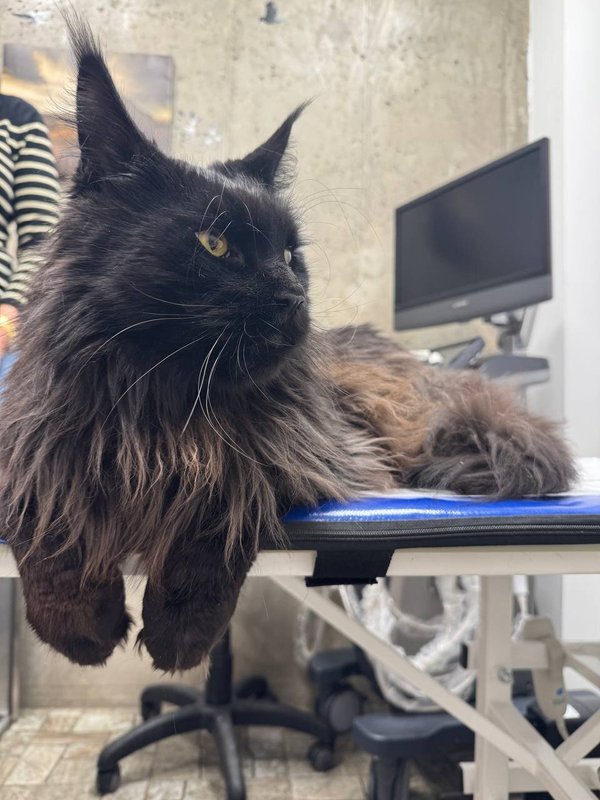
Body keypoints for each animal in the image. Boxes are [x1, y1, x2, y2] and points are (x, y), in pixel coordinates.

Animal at [0, 20, 575, 672]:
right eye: (216, 244)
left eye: (290, 255)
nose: (293, 298)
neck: (162, 406)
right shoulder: (39, 443)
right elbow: (45, 517)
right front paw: (81, 631)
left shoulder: (299, 452)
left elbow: (223, 499)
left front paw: (178, 635)